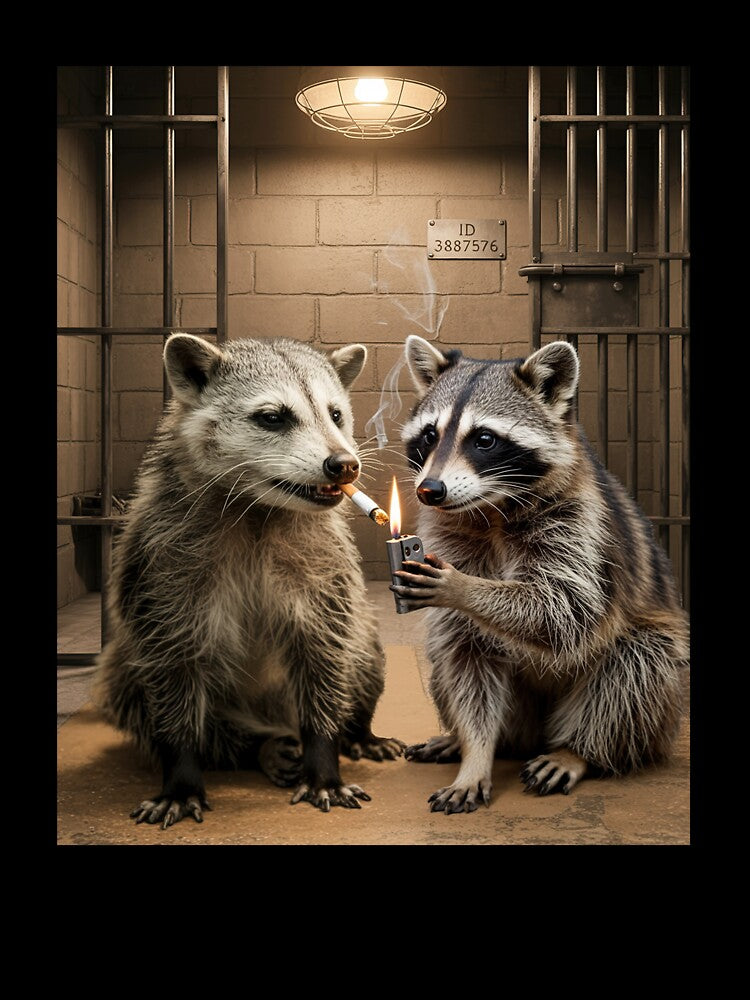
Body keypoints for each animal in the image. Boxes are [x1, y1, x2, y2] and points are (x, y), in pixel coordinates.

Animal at [94, 334, 403, 828]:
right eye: (273, 417)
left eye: (336, 414)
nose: (345, 465)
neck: (260, 508)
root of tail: (273, 718)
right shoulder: (161, 562)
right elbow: (171, 659)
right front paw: (181, 768)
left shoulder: (326, 567)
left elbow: (325, 649)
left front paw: (323, 754)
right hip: (131, 668)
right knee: (129, 687)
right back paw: (254, 746)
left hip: (356, 639)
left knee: (363, 649)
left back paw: (356, 729)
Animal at [392, 335, 689, 814]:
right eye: (429, 435)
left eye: (485, 439)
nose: (429, 490)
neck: (491, 509)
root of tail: (538, 734)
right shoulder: (449, 531)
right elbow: (466, 650)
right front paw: (476, 754)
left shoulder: (580, 525)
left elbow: (565, 609)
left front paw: (463, 587)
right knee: (447, 655)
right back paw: (474, 741)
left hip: (656, 688)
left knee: (638, 663)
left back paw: (579, 750)